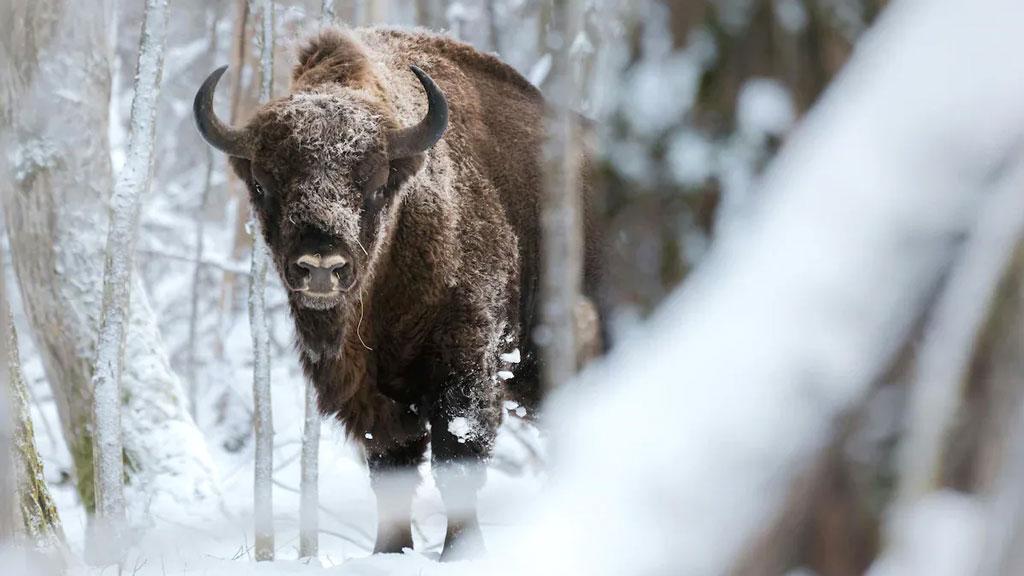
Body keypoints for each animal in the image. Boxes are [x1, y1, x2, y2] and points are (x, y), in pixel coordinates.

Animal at [193, 25, 598, 557]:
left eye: (375, 183)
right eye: (263, 184)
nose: (320, 265)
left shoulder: (467, 368)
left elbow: (457, 461)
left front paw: (461, 553)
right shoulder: (372, 396)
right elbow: (391, 466)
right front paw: (389, 551)